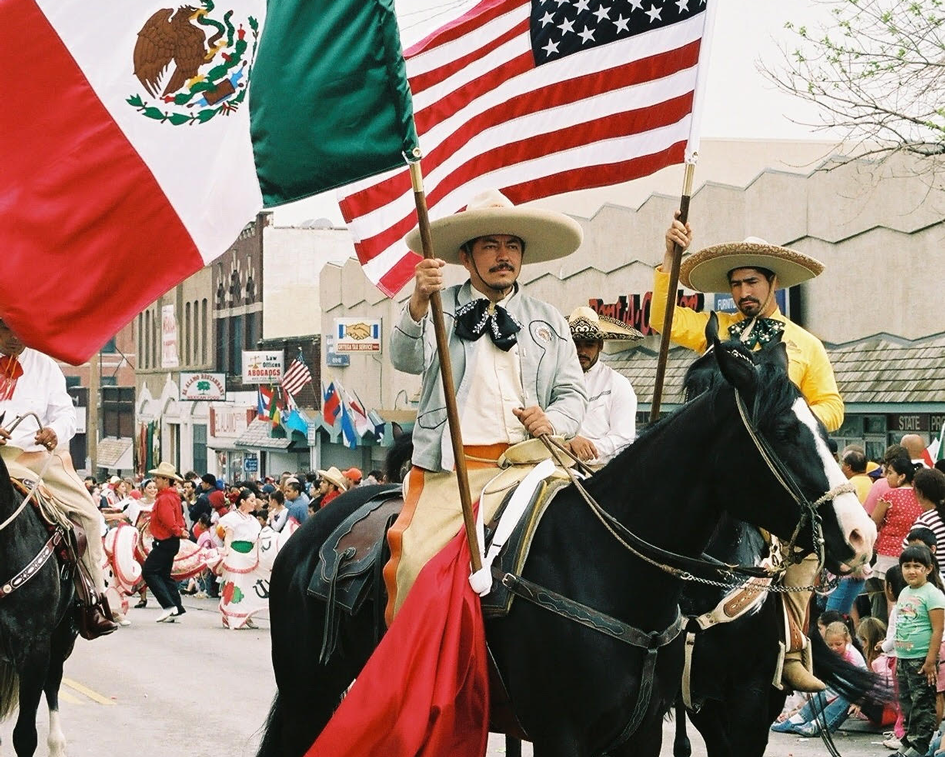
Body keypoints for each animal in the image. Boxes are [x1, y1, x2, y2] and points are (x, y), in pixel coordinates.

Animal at [256, 328, 872, 752]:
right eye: (784, 430)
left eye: (824, 426)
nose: (859, 534)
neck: (607, 567)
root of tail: (313, 533)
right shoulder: (563, 733)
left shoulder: (661, 729)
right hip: (309, 691)